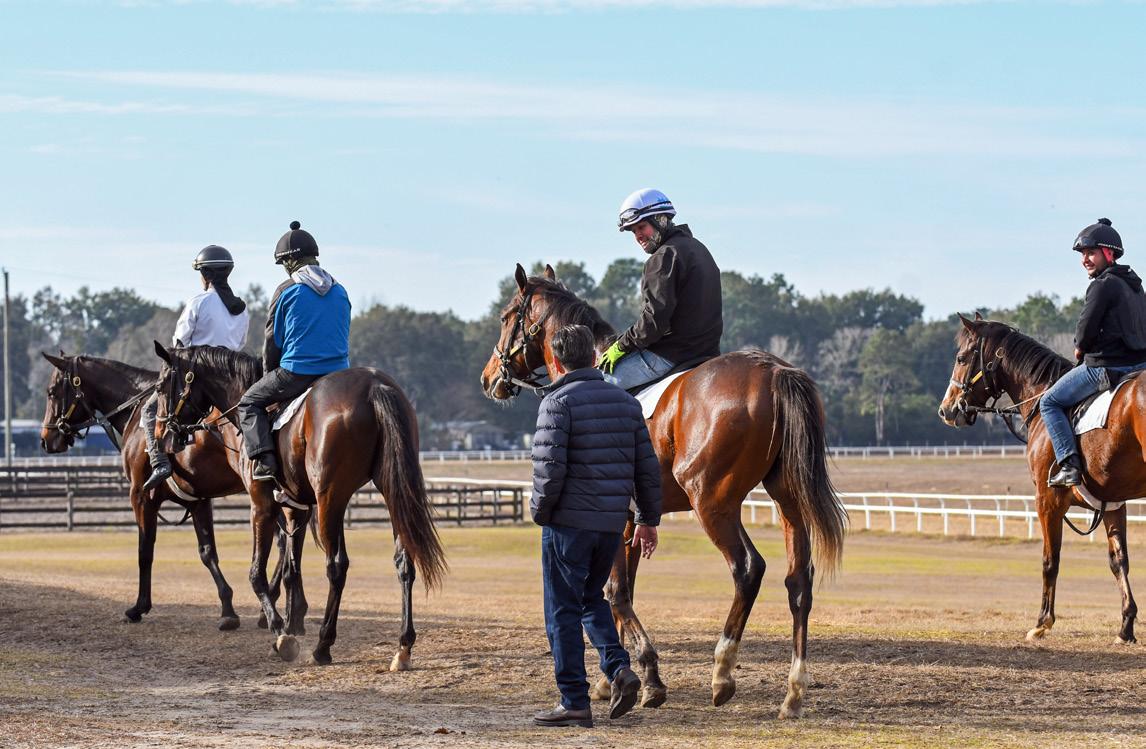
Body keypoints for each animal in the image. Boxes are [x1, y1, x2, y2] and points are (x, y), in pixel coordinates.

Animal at [38, 352, 271, 631]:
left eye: (52, 392)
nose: (46, 439)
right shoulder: (198, 501)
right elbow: (207, 553)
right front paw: (227, 609)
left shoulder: (141, 497)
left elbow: (144, 550)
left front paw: (139, 607)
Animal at [151, 342, 447, 668]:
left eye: (162, 385)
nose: (162, 432)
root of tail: (374, 386)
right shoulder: (297, 508)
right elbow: (291, 569)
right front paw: (291, 622)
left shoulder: (261, 504)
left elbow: (257, 573)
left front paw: (281, 633)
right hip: (388, 490)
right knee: (404, 562)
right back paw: (403, 646)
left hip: (331, 497)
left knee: (336, 566)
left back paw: (323, 645)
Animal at [480, 264, 847, 719]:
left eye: (505, 316)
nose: (489, 377)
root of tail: (774, 370)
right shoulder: (630, 522)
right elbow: (620, 593)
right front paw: (614, 678)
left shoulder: (613, 518)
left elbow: (614, 594)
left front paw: (645, 677)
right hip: (787, 500)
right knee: (798, 582)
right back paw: (793, 692)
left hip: (712, 502)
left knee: (748, 569)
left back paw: (722, 671)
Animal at [938, 314, 1139, 645]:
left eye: (961, 358)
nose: (947, 409)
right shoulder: (1112, 503)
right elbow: (1118, 560)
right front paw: (1126, 626)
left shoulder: (1047, 500)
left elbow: (1050, 559)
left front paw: (1042, 622)